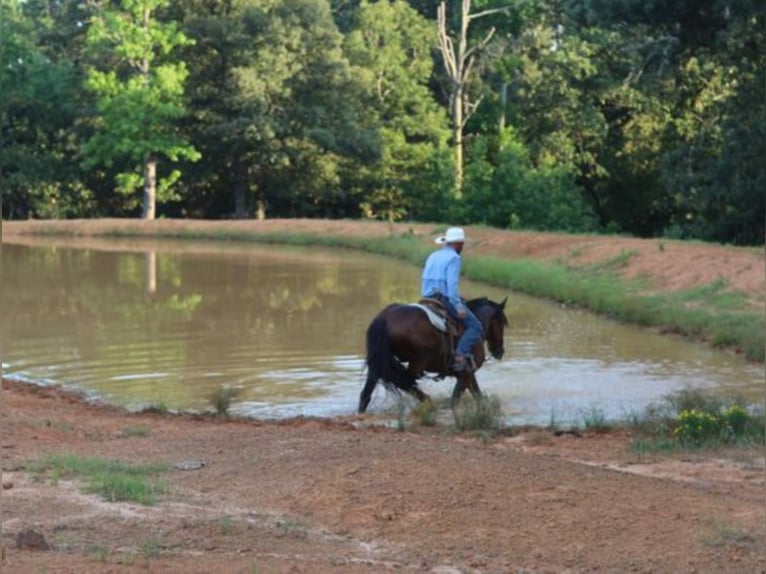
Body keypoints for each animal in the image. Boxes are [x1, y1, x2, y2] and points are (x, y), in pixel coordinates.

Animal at [360, 296, 510, 414]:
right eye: (502, 322)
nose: (500, 351)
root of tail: (384, 317)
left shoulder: (467, 373)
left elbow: (476, 394)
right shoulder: (466, 373)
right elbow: (457, 399)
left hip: (379, 361)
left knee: (367, 393)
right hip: (418, 362)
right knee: (405, 381)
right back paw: (427, 401)